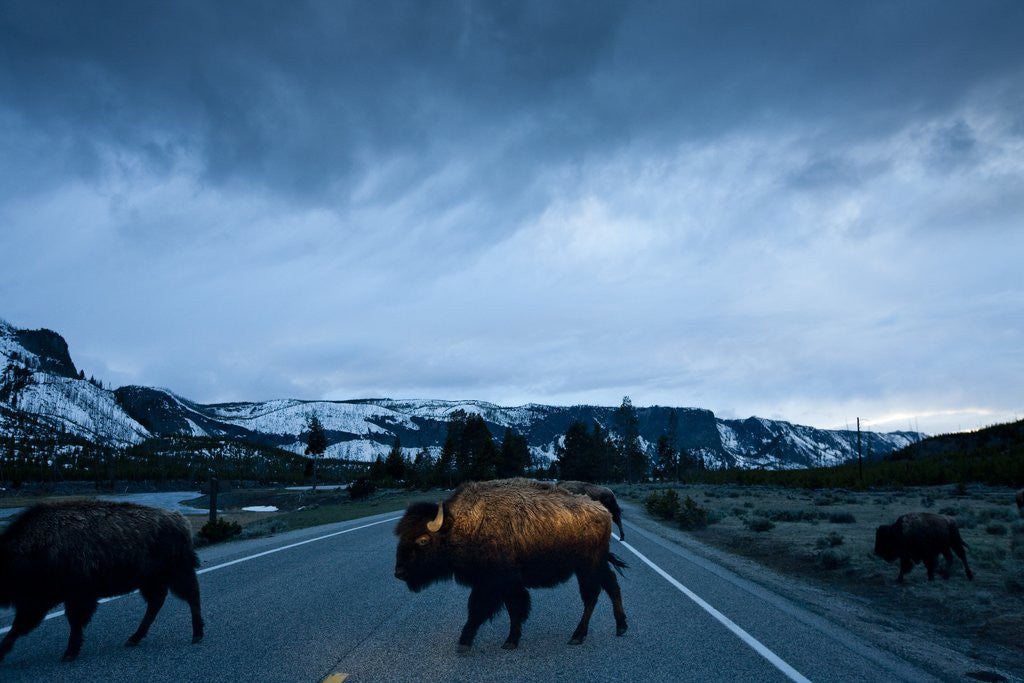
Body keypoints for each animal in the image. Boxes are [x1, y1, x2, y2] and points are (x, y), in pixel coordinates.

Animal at [0, 500, 204, 663]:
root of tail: (180, 519)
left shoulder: (73, 597)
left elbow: (72, 621)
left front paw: (70, 653)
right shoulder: (39, 601)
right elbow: (20, 625)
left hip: (177, 573)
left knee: (191, 597)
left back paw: (197, 634)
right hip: (151, 581)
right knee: (157, 603)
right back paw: (133, 638)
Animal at [394, 478, 628, 652]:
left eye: (423, 540)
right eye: (402, 536)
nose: (399, 572)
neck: (461, 524)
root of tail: (603, 511)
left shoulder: (493, 582)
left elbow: (479, 609)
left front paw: (464, 642)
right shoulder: (509, 585)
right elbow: (514, 609)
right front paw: (511, 641)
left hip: (587, 567)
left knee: (592, 596)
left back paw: (578, 636)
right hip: (596, 565)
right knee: (611, 586)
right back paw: (621, 627)